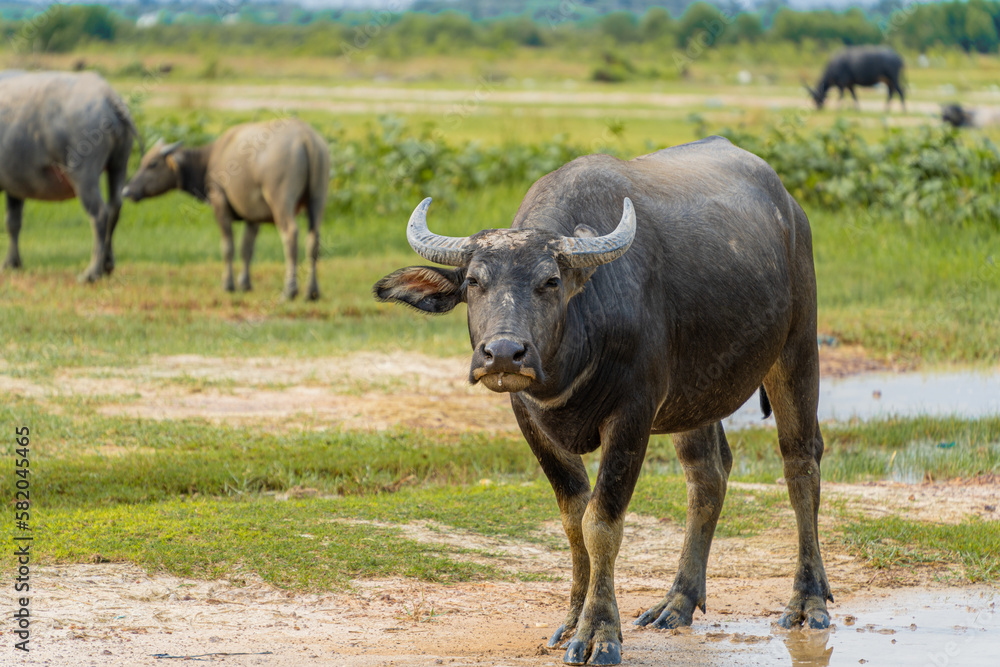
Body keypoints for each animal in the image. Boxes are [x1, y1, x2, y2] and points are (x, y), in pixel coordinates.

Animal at [0, 71, 141, 282]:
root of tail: (108, 95)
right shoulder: (15, 185)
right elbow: (13, 222)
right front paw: (12, 263)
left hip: (83, 173)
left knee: (99, 214)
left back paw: (91, 273)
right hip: (119, 164)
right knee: (114, 208)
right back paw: (107, 265)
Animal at [123, 118, 329, 300]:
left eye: (152, 164)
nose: (127, 190)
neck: (211, 158)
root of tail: (305, 137)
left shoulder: (220, 203)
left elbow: (228, 246)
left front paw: (228, 284)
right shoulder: (253, 215)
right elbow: (247, 248)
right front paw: (245, 283)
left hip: (281, 202)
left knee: (290, 234)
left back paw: (289, 291)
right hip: (318, 200)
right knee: (314, 239)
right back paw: (312, 292)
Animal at [375, 137, 831, 665]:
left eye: (550, 281)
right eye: (473, 282)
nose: (504, 353)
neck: (572, 358)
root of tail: (792, 211)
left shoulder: (632, 416)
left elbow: (602, 523)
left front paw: (598, 632)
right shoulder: (531, 421)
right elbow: (573, 520)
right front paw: (573, 619)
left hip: (797, 346)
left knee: (800, 463)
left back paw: (808, 601)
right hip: (693, 398)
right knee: (708, 475)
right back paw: (678, 602)